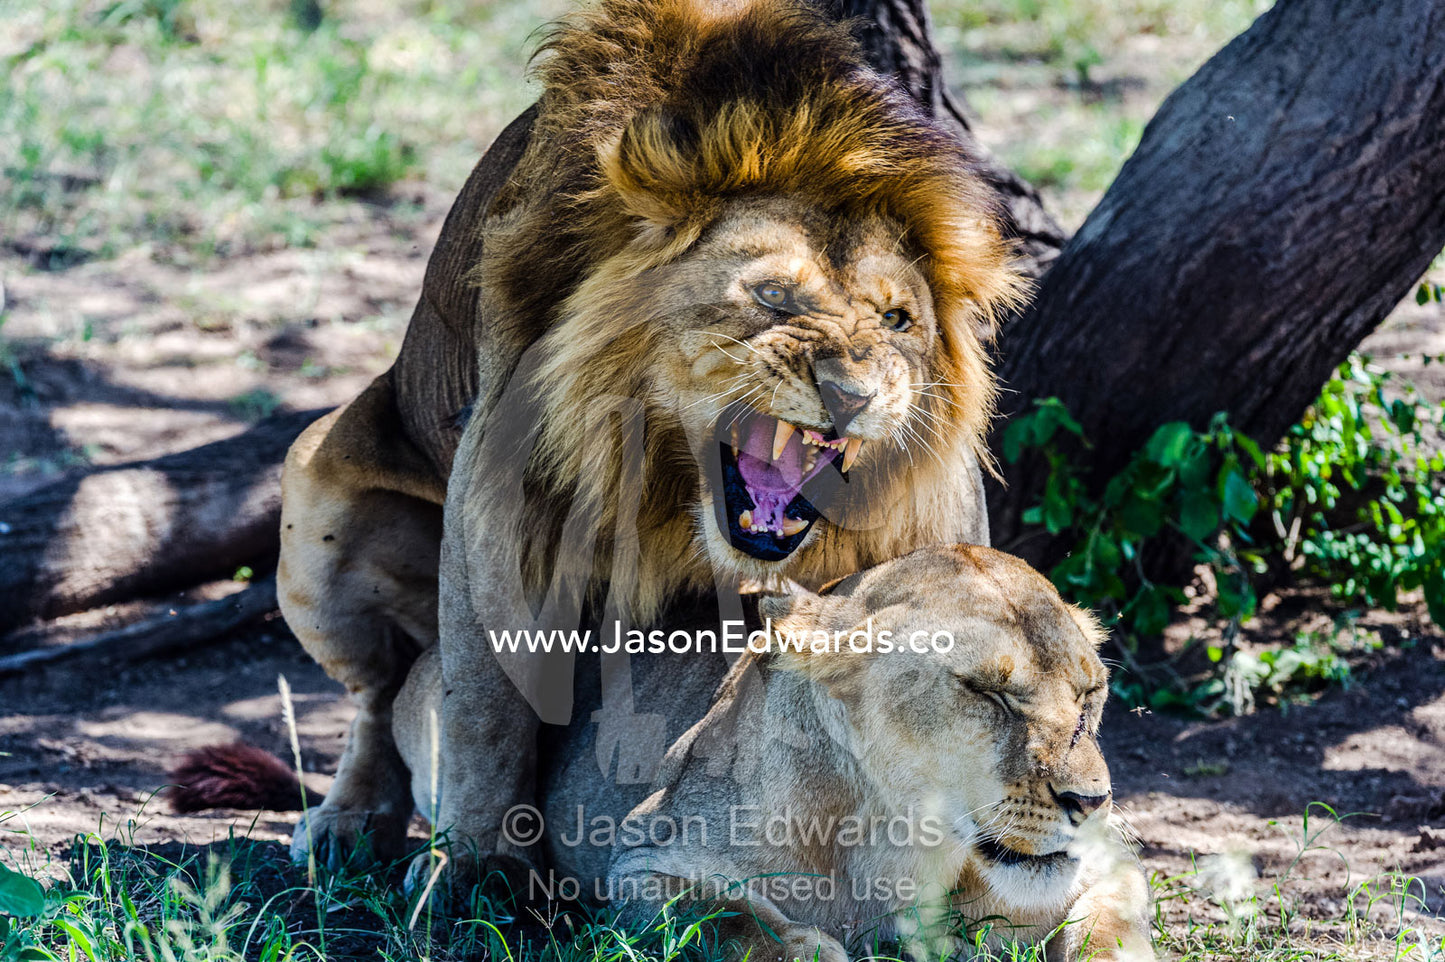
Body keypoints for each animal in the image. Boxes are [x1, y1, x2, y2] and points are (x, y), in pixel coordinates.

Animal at [274, 0, 1024, 893]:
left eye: (897, 320)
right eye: (773, 297)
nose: (851, 394)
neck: (674, 485)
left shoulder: (938, 514)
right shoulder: (495, 498)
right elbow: (485, 707)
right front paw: (479, 873)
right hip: (311, 487)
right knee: (380, 691)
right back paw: (348, 822)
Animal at [390, 545, 1152, 961]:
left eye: (1091, 692)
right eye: (986, 693)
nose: (1091, 802)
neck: (900, 843)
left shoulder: (1109, 865)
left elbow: (1111, 930)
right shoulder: (639, 861)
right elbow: (729, 918)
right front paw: (807, 948)